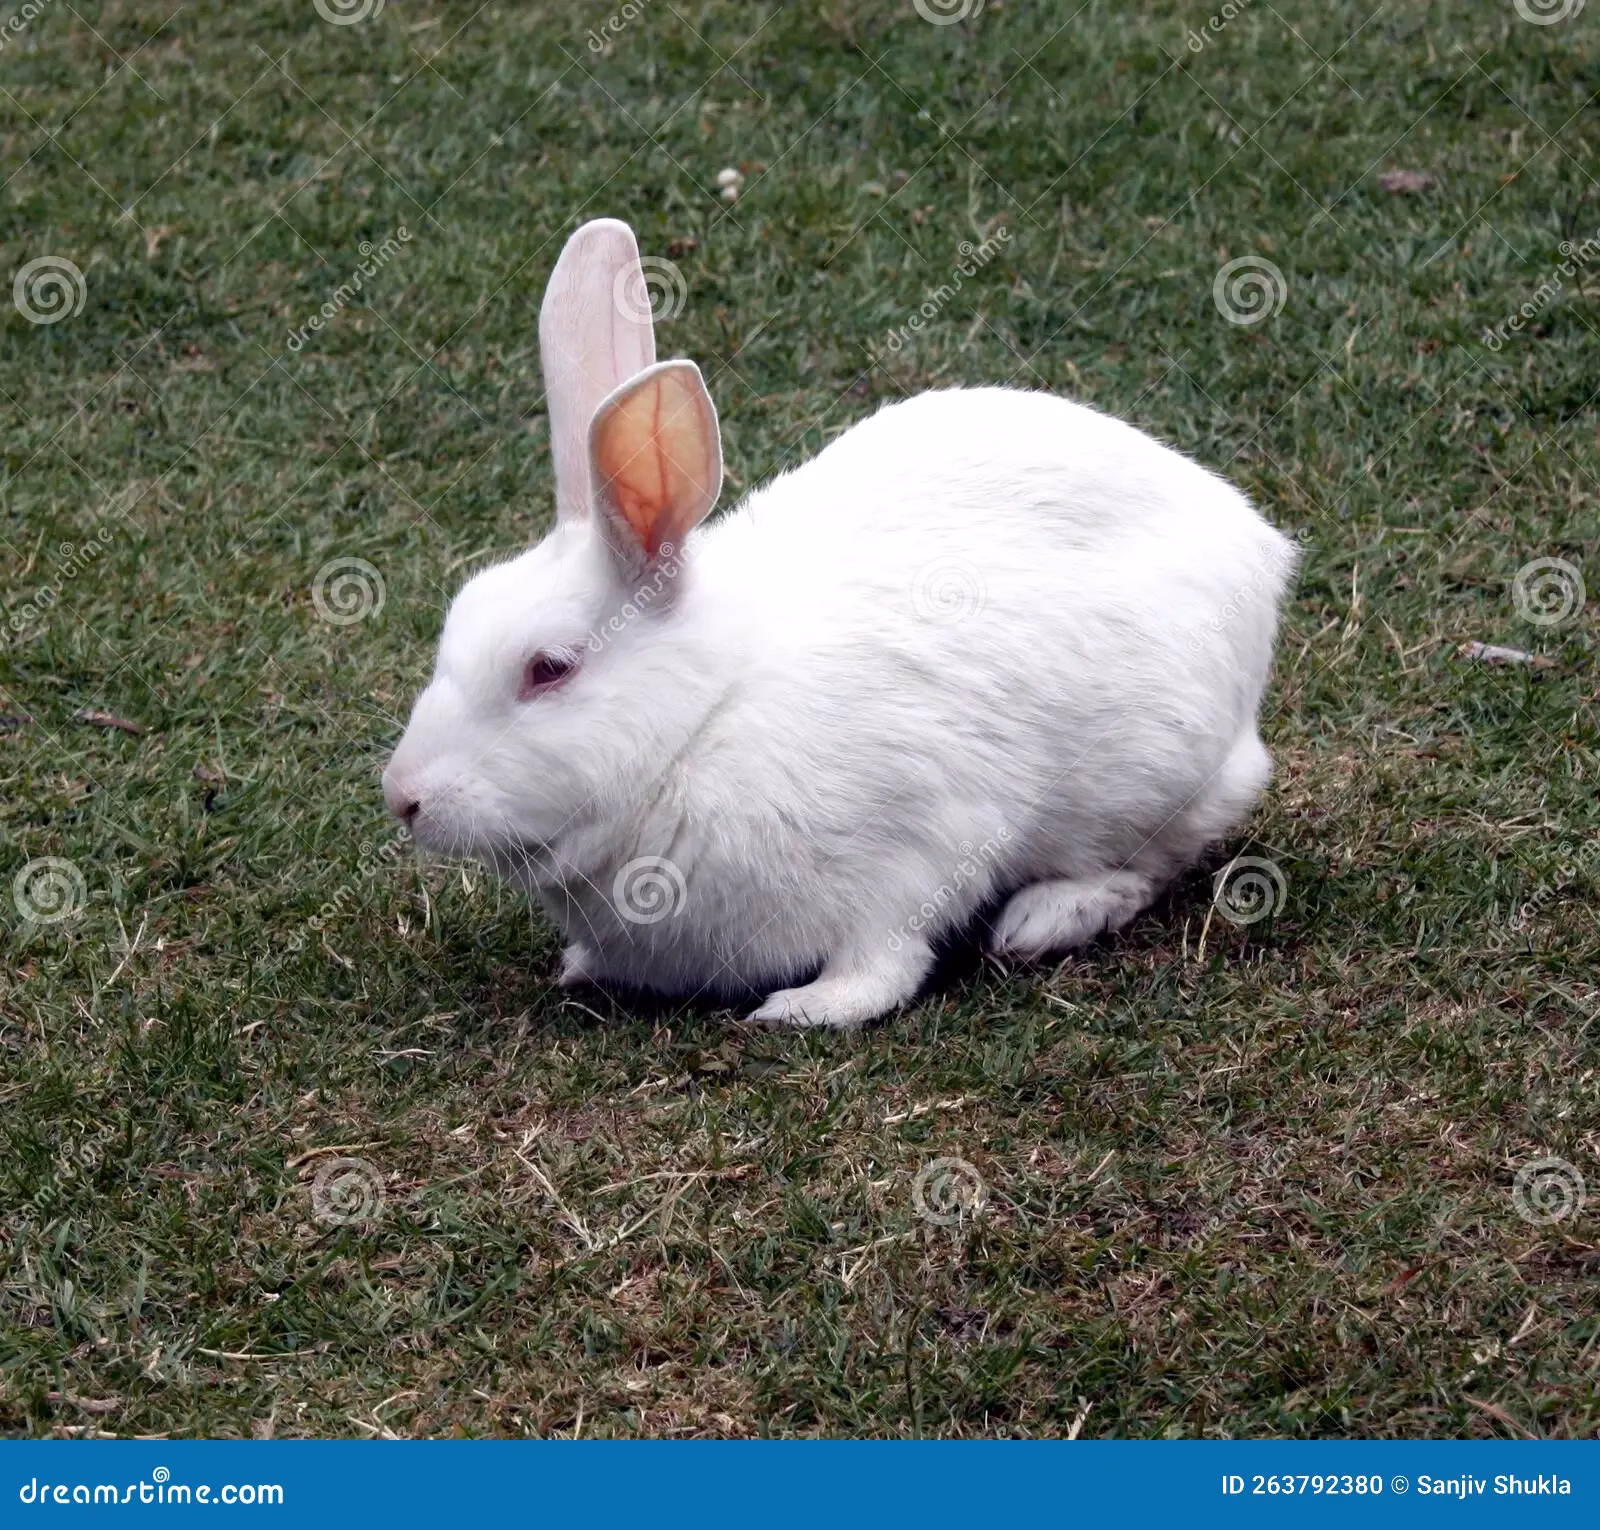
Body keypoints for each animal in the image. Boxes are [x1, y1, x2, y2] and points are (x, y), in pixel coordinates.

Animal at [382, 217, 1298, 1029]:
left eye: (550, 668)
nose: (403, 798)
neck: (702, 722)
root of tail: (1257, 544)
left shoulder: (921, 842)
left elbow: (883, 962)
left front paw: (806, 1009)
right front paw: (581, 965)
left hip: (1165, 765)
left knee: (1153, 861)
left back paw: (1048, 916)